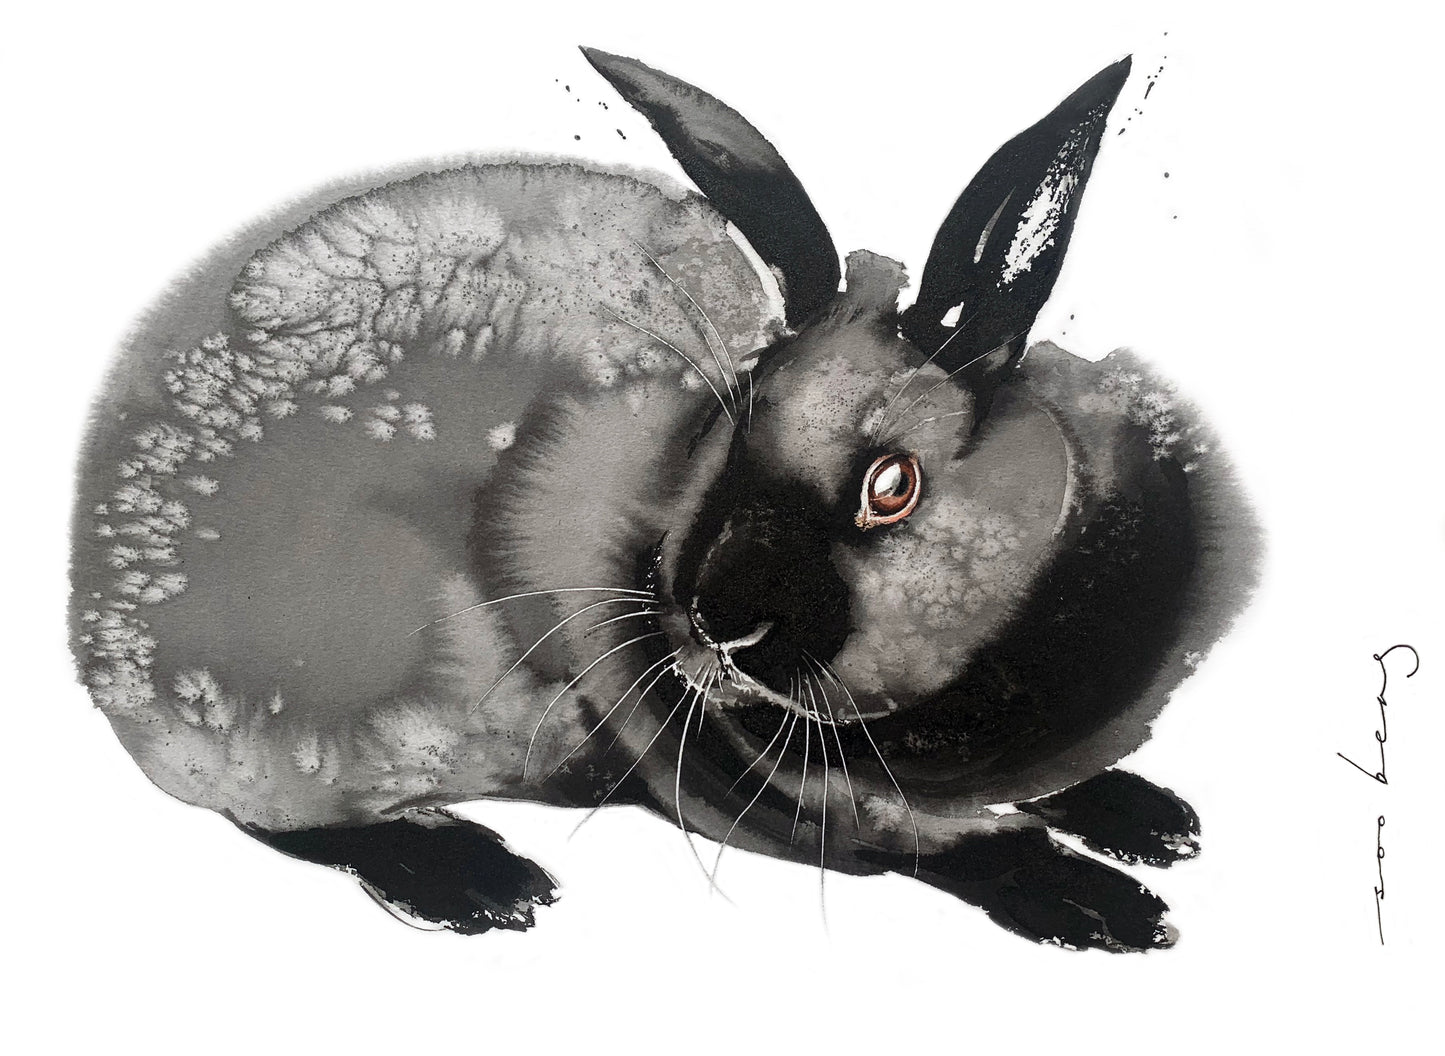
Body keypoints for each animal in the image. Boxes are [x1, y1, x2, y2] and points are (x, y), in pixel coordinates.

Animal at [69, 45, 1258, 951]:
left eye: (893, 484)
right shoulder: (737, 781)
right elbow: (924, 838)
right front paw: (1104, 904)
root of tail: (95, 628)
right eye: (725, 436)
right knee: (272, 816)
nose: (716, 625)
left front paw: (1150, 817)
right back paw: (471, 881)